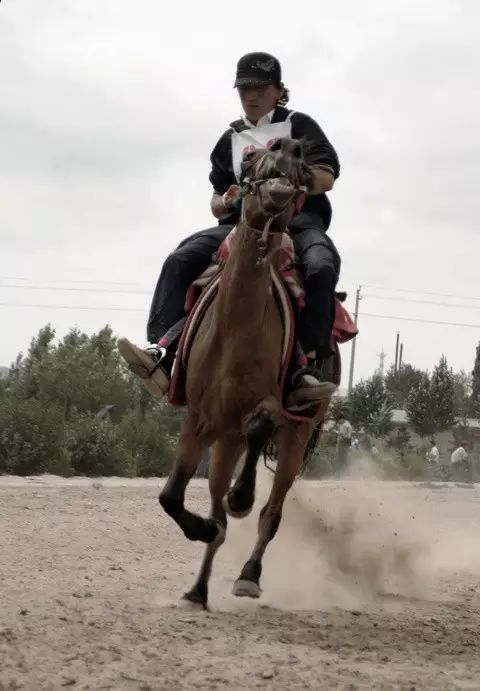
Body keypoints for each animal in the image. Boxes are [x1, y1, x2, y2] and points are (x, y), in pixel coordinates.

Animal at [158, 139, 338, 604]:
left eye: (303, 156)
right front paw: (204, 528)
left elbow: (260, 426)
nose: (286, 146)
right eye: (250, 157)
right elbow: (172, 496)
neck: (234, 333)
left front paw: (242, 496)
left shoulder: (268, 406)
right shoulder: (199, 418)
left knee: (271, 512)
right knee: (218, 507)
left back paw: (248, 574)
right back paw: (198, 590)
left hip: (297, 435)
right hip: (225, 439)